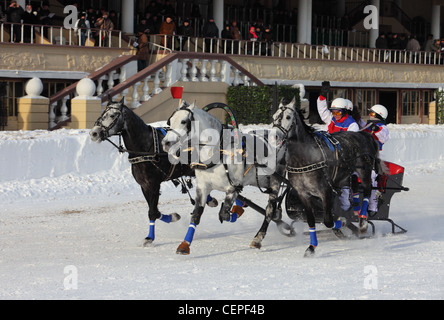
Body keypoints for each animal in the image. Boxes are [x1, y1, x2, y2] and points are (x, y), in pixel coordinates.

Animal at [161, 102, 282, 255]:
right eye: (170, 121)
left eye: (184, 121)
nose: (166, 143)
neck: (217, 152)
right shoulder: (203, 187)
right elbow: (196, 215)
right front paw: (184, 245)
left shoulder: (233, 187)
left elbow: (224, 214)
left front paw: (236, 211)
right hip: (261, 180)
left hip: (275, 183)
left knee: (269, 211)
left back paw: (258, 238)